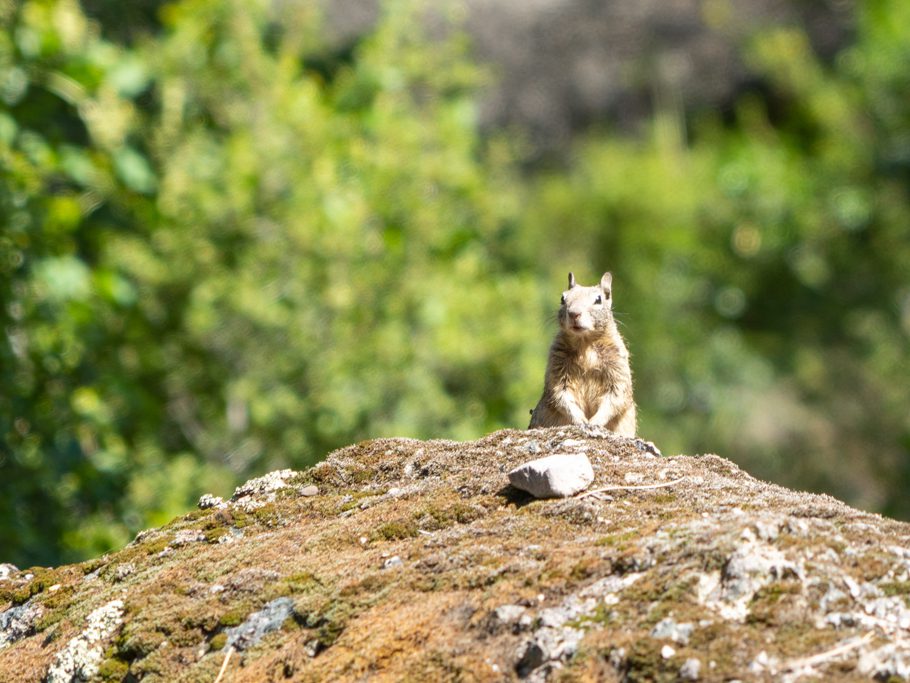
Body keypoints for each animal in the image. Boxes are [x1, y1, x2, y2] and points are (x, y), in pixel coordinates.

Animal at [532, 272, 636, 436]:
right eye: (562, 298)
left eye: (598, 299)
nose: (574, 313)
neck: (585, 343)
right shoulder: (557, 368)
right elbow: (561, 395)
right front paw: (581, 420)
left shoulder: (618, 368)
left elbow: (615, 396)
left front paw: (594, 422)